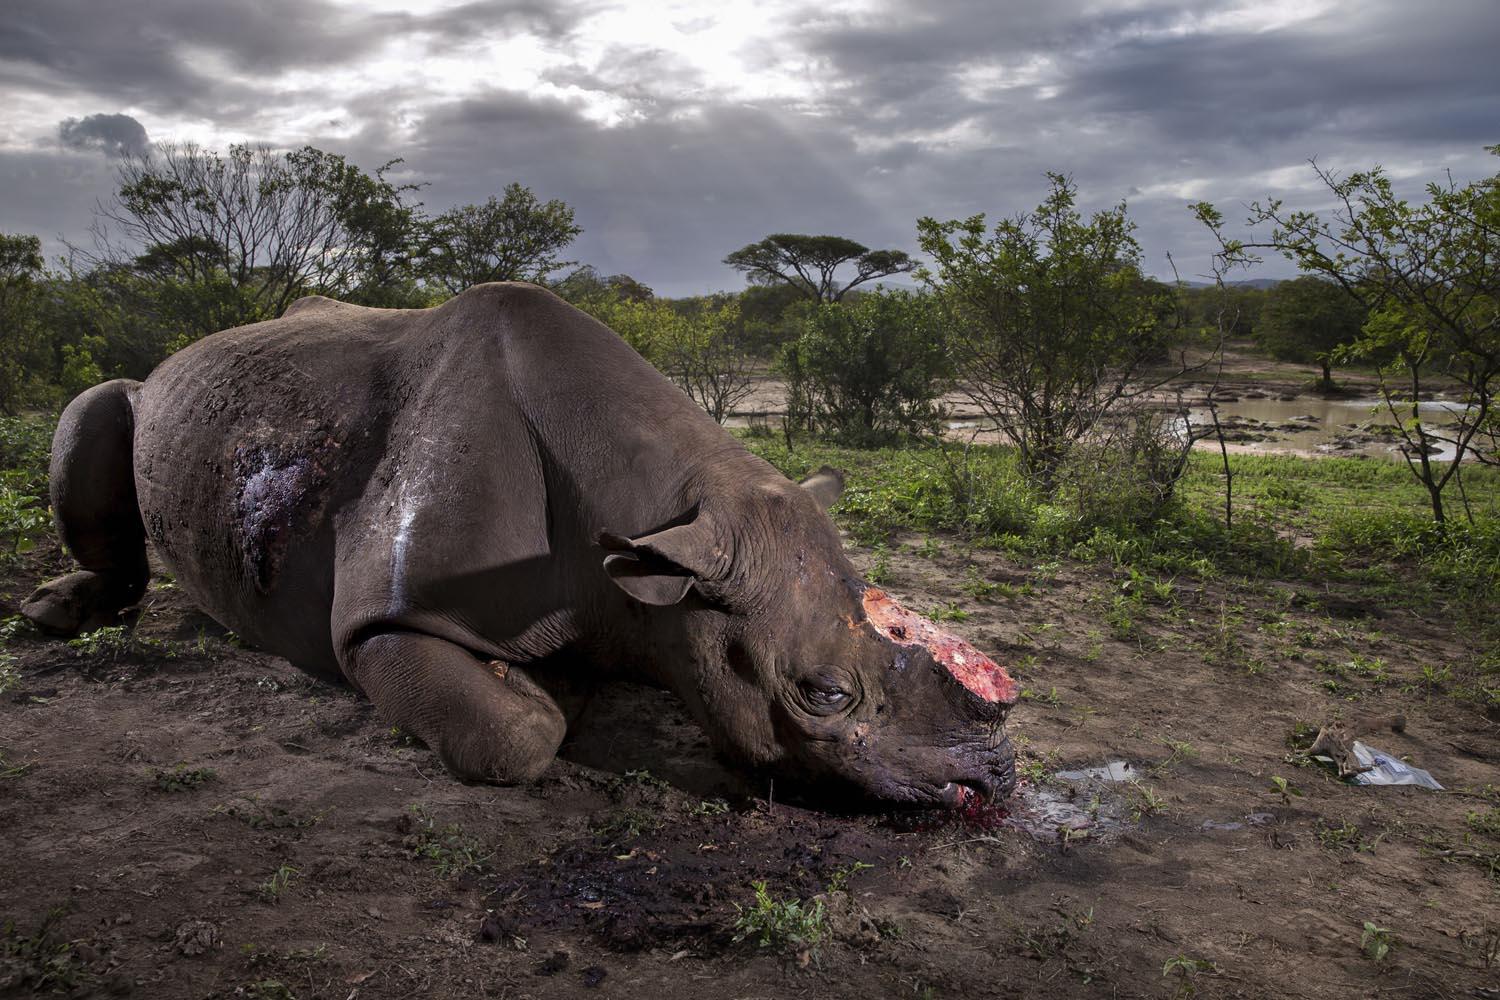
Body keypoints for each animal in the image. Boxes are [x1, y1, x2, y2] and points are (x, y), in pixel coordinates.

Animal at [23, 283, 1018, 808]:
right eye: (822, 695)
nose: (991, 781)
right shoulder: (383, 621)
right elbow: (515, 735)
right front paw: (543, 692)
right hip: (152, 398)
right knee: (97, 405)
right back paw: (55, 614)